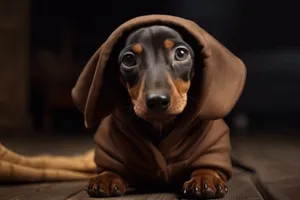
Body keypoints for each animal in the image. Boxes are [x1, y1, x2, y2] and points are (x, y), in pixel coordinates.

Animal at [72, 14, 246, 199]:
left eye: (181, 53)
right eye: (128, 59)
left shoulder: (211, 146)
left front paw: (205, 177)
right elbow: (110, 167)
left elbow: (208, 164)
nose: (157, 101)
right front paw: (107, 177)